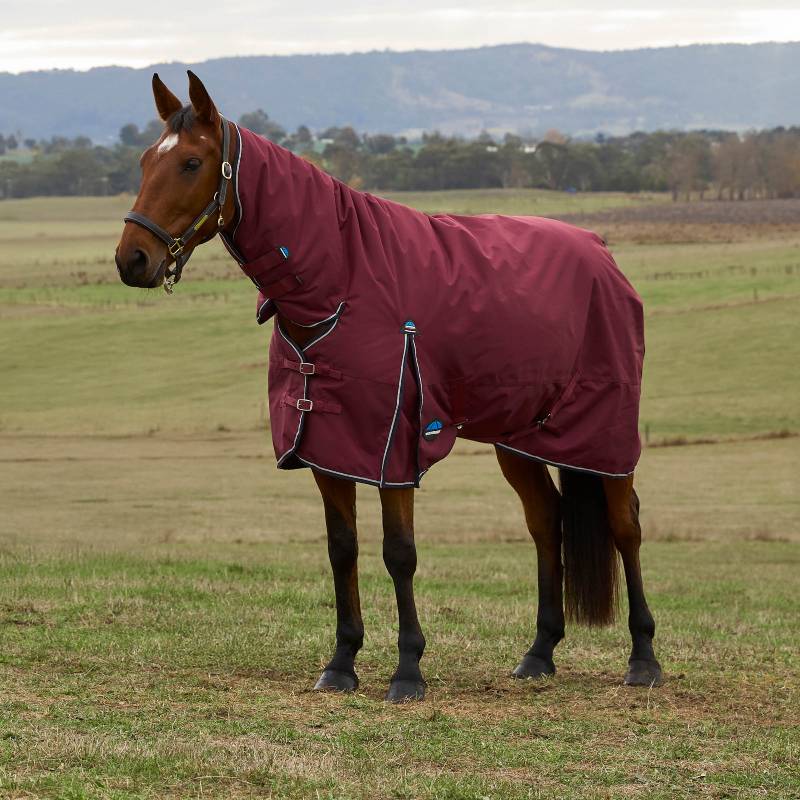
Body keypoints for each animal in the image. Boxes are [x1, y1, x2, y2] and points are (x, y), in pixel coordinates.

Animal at [115, 71, 662, 702]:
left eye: (191, 163)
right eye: (144, 160)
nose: (132, 259)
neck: (342, 282)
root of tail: (601, 252)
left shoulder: (393, 448)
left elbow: (399, 554)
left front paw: (407, 670)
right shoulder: (328, 446)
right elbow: (342, 550)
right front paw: (341, 662)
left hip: (604, 435)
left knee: (626, 526)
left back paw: (644, 657)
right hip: (518, 438)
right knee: (546, 521)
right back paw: (539, 652)